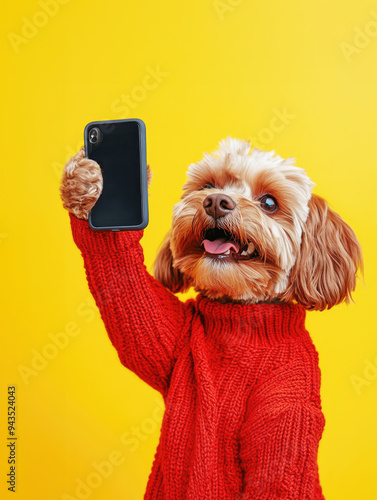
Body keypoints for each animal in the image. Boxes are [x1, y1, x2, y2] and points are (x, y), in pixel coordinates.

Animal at [61, 138, 362, 500]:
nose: (216, 201)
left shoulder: (290, 397)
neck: (243, 317)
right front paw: (86, 178)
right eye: (208, 186)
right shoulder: (170, 337)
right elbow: (125, 288)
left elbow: (276, 470)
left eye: (269, 203)